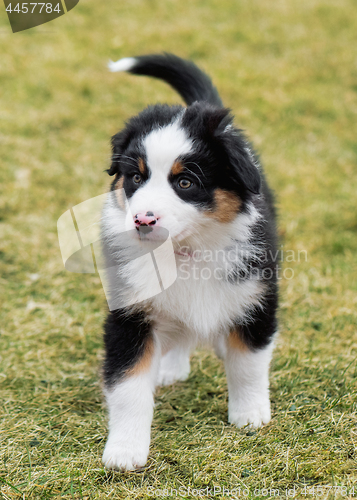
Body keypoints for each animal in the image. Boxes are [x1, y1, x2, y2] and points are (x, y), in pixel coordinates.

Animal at [99, 52, 278, 470]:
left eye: (185, 183)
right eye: (135, 177)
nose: (143, 220)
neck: (185, 252)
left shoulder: (256, 296)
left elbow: (249, 362)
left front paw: (249, 415)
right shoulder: (130, 314)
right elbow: (128, 386)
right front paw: (124, 451)